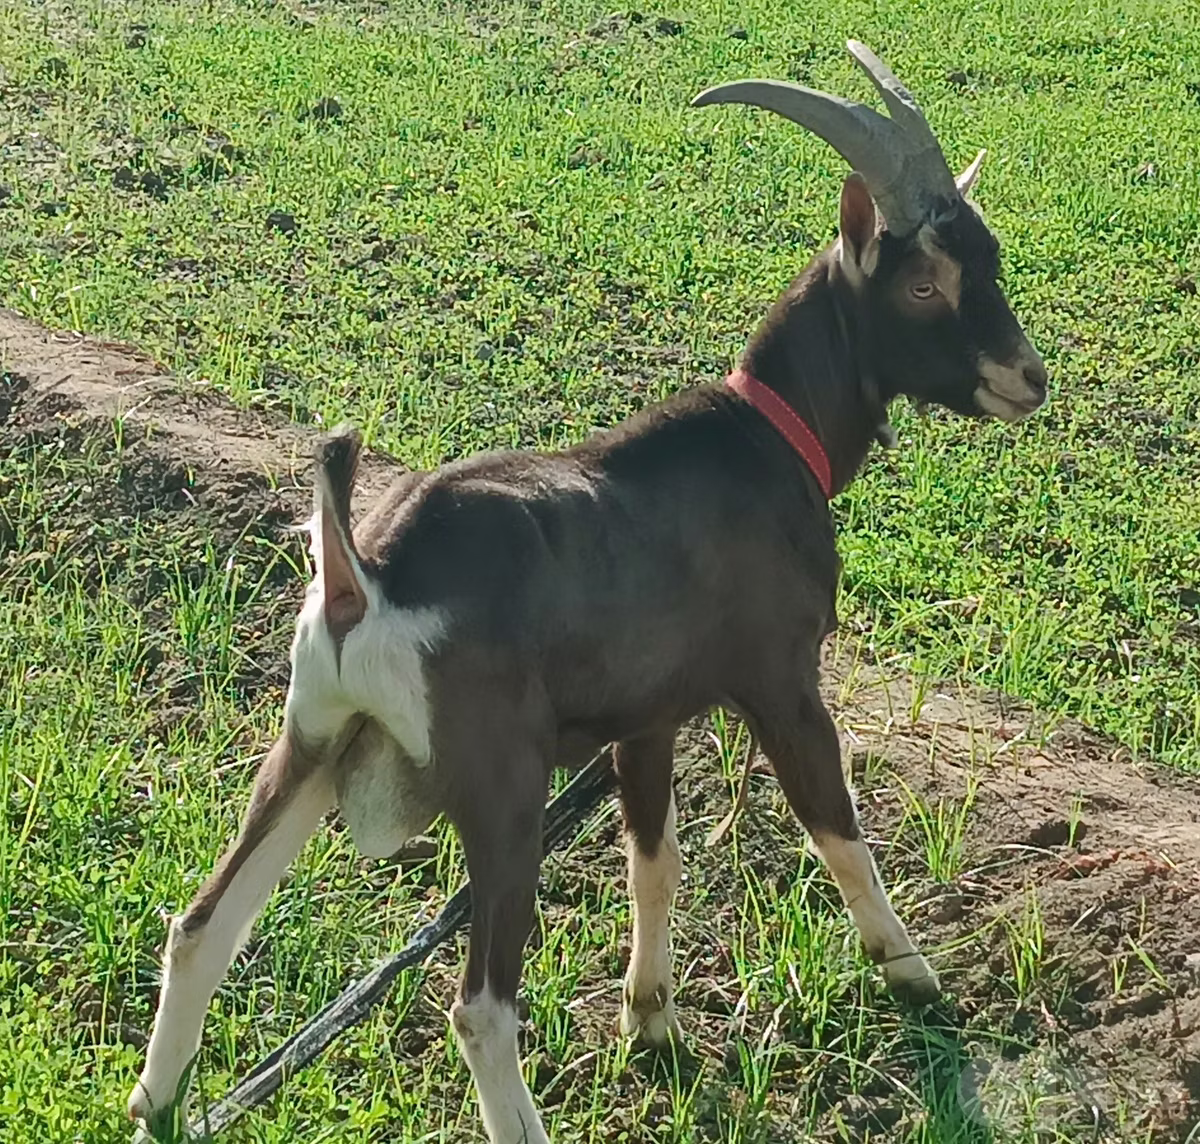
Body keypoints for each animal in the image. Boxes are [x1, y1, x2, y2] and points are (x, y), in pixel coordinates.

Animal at [128, 40, 1047, 1144]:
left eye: (988, 257)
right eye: (923, 284)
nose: (1030, 379)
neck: (771, 435)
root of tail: (367, 575)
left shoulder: (644, 721)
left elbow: (654, 863)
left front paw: (648, 1019)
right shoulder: (781, 682)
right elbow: (837, 830)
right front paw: (910, 971)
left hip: (308, 740)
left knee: (200, 925)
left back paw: (157, 1103)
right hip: (503, 789)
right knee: (480, 1007)